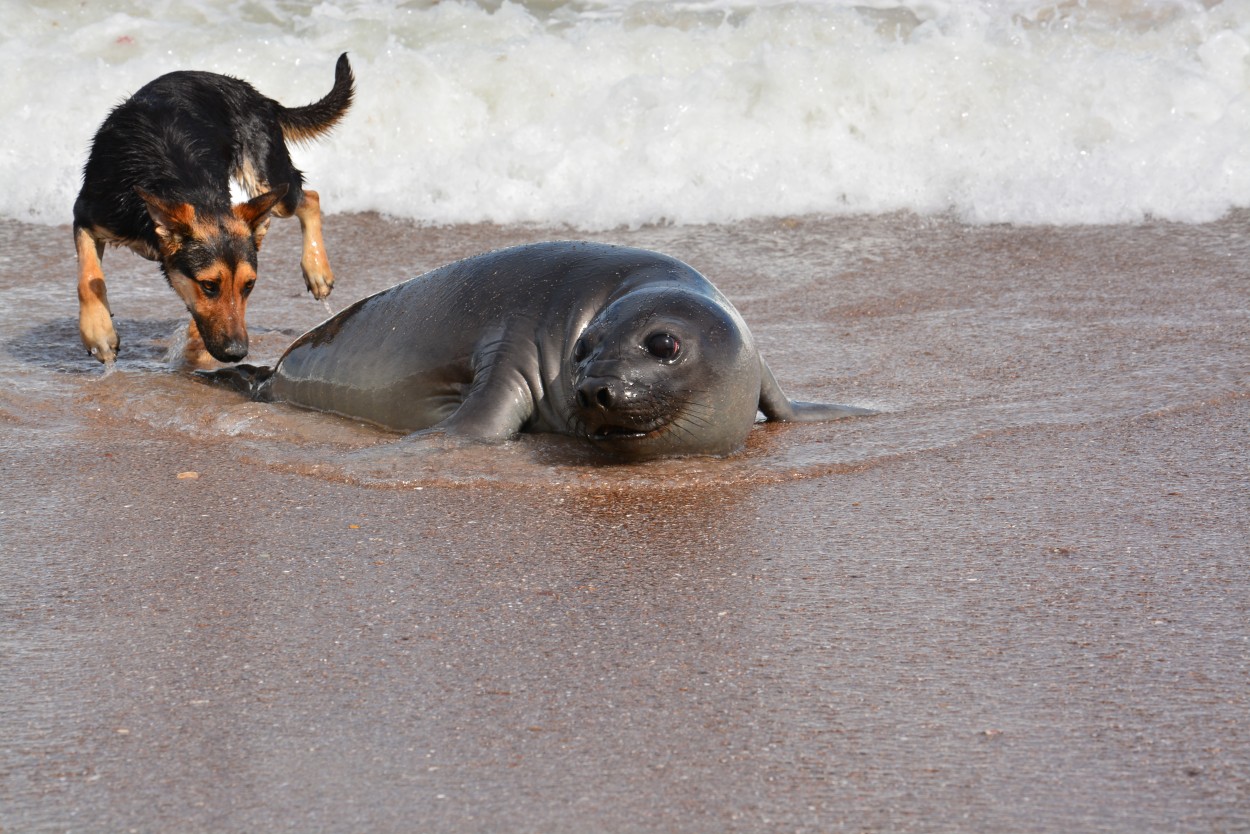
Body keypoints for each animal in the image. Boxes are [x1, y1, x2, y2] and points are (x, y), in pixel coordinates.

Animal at [72, 53, 355, 365]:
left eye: (249, 285)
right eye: (209, 285)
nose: (237, 353)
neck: (174, 183)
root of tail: (253, 93)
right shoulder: (87, 216)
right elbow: (89, 278)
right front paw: (99, 333)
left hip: (268, 183)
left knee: (310, 198)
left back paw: (317, 270)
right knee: (310, 196)